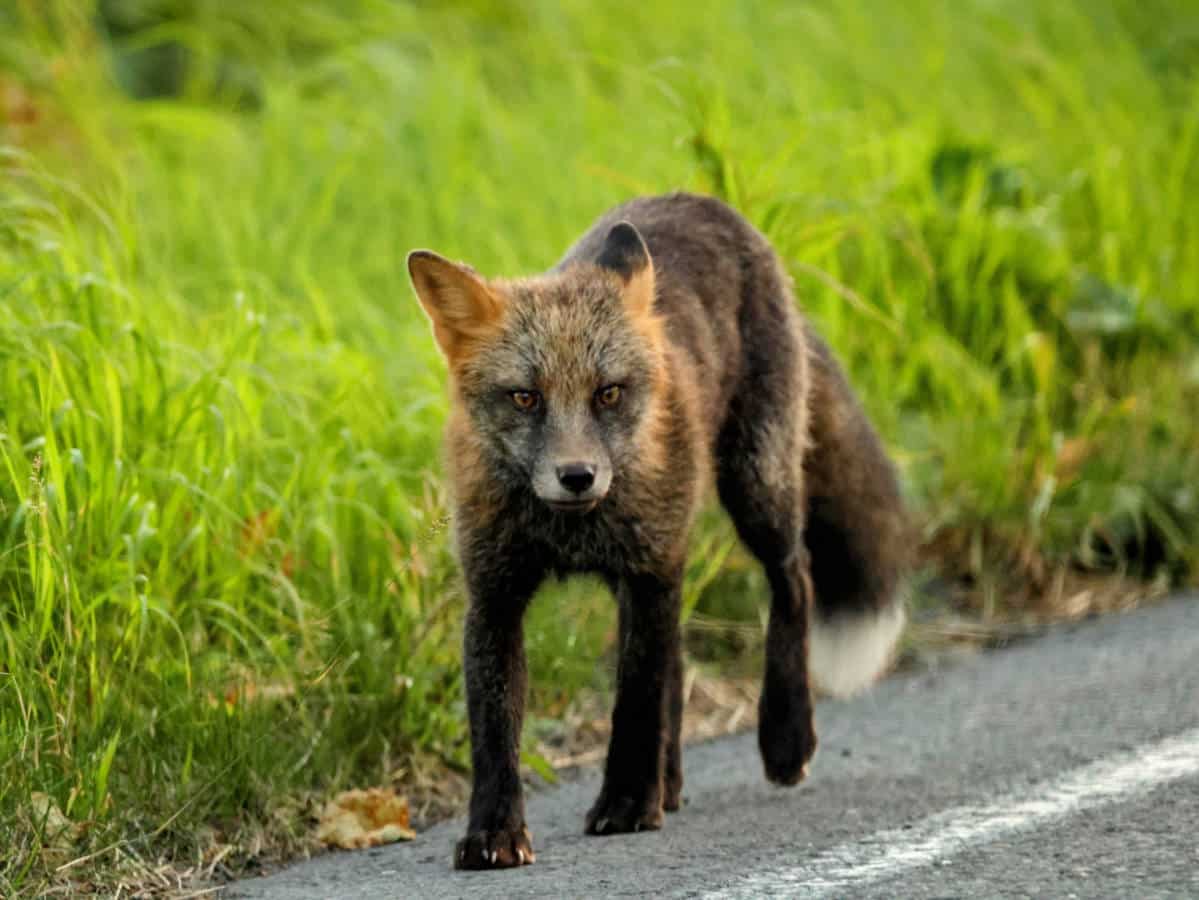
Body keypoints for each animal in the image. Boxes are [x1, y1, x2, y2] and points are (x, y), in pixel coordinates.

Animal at [407, 192, 908, 871]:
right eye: (524, 398)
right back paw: (667, 783)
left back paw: (784, 736)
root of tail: (706, 204)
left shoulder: (648, 569)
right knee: (678, 657)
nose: (577, 476)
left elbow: (636, 701)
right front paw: (494, 832)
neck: (571, 531)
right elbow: (493, 731)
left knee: (794, 577)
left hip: (755, 487)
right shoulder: (494, 594)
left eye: (608, 393)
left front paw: (623, 804)